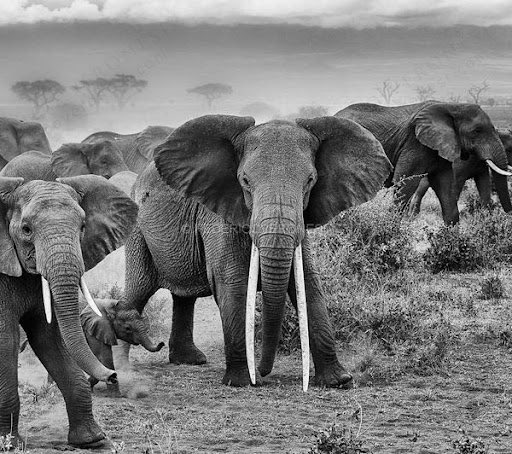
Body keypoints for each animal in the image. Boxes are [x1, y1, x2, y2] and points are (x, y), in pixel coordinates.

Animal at [0, 163, 138, 446]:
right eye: (26, 229)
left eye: (83, 226)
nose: (113, 374)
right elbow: (6, 340)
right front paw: (10, 444)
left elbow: (48, 338)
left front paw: (91, 439)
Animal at [124, 114, 392, 390]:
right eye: (245, 181)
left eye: (310, 181)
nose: (263, 372)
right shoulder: (218, 215)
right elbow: (233, 285)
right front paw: (242, 381)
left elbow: (308, 284)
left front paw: (339, 381)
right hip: (137, 231)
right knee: (139, 289)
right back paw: (123, 366)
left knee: (183, 296)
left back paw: (189, 360)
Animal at [336, 101, 512, 225]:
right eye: (477, 131)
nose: (507, 215)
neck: (452, 106)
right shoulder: (415, 143)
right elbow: (406, 182)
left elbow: (446, 185)